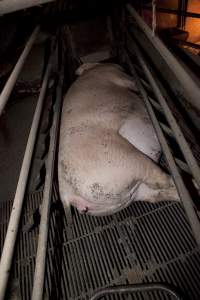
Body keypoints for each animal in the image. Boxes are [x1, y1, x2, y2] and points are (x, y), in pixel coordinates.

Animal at [57, 62, 180, 216]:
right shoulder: (116, 74)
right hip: (126, 160)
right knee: (161, 179)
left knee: (155, 194)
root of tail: (66, 194)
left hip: (135, 191)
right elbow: (133, 82)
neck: (92, 70)